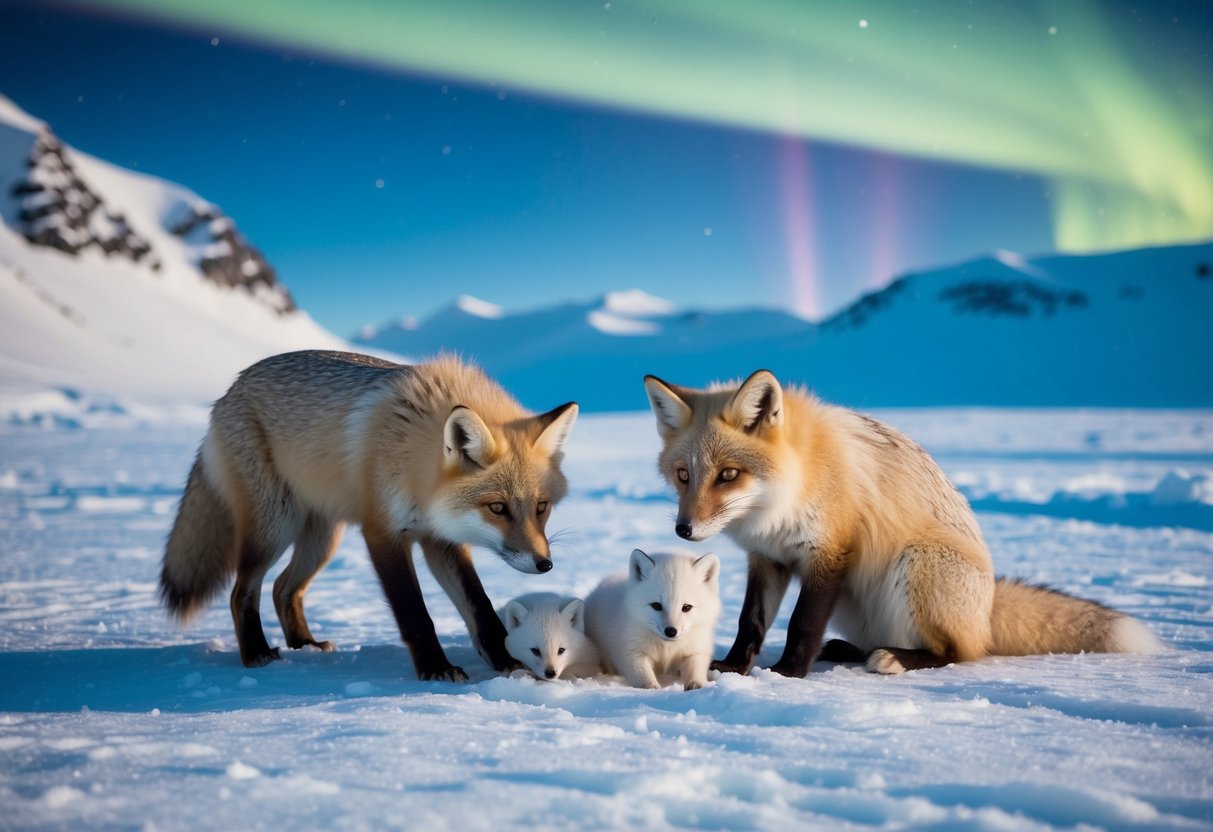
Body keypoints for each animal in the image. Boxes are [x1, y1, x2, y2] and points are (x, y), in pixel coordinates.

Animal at [159, 350, 579, 681]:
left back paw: (303, 645)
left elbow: (481, 608)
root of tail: (230, 390)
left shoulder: (440, 538)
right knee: (241, 592)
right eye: (498, 507)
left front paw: (509, 664)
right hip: (275, 528)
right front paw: (436, 670)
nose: (544, 564)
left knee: (283, 589)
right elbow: (414, 612)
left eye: (541, 507)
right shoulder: (383, 532)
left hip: (322, 539)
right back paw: (257, 654)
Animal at [584, 549, 721, 690]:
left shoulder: (696, 649)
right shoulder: (632, 652)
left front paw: (696, 685)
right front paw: (652, 690)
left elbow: (695, 668)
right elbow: (643, 677)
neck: (667, 648)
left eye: (686, 607)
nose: (671, 631)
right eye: (656, 605)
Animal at [642, 369, 1163, 677]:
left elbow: (801, 623)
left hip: (914, 567)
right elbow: (751, 621)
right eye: (684, 475)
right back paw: (850, 650)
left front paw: (788, 674)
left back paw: (893, 659)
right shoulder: (769, 558)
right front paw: (731, 668)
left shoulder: (830, 553)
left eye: (729, 475)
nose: (684, 531)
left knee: (960, 652)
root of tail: (987, 607)